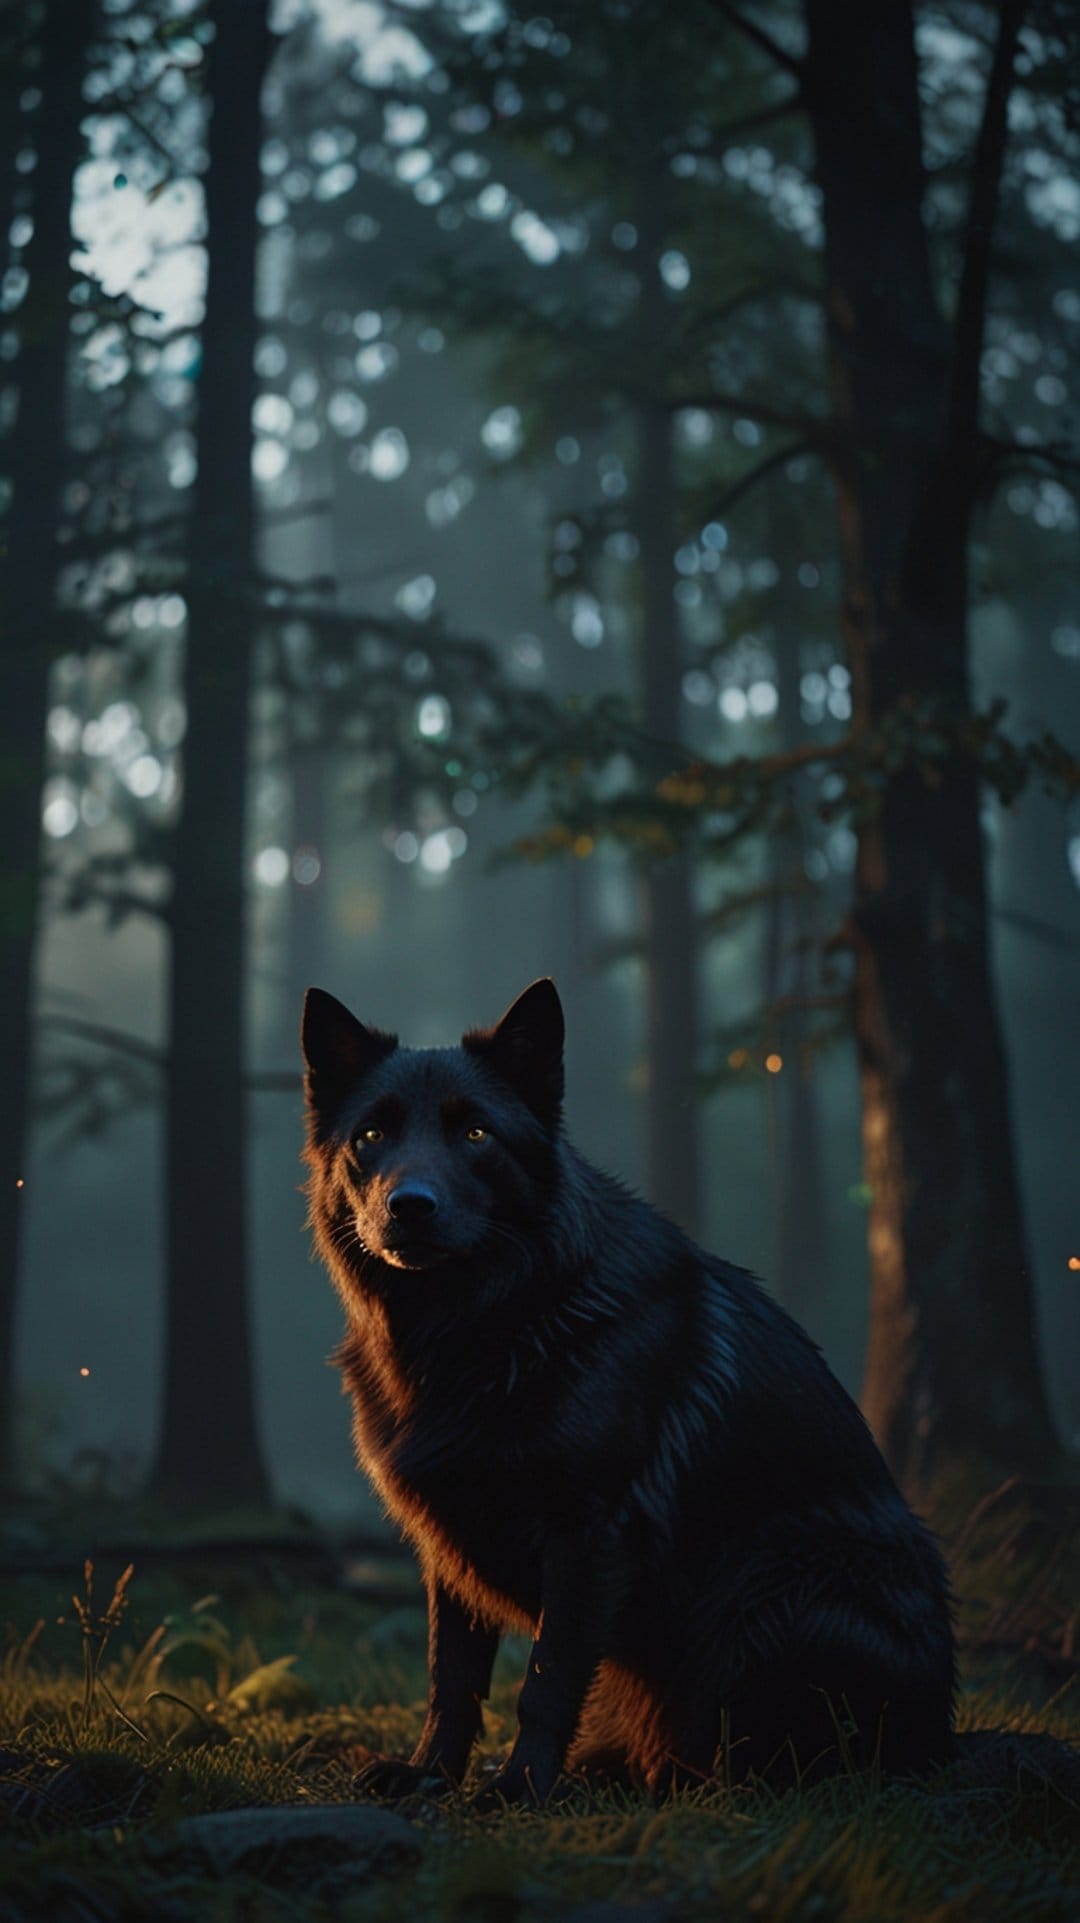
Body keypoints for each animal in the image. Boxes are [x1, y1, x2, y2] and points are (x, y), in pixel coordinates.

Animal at [302, 977, 955, 1803]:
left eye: (477, 1133)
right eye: (370, 1135)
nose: (409, 1205)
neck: (490, 1325)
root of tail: (943, 1731)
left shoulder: (588, 1531)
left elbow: (545, 1681)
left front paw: (519, 1787)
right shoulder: (448, 1538)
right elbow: (451, 1677)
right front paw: (429, 1774)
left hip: (767, 1593)